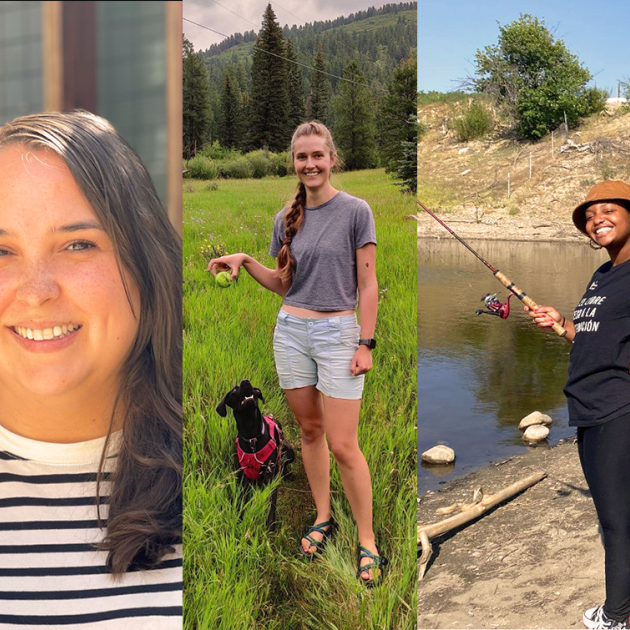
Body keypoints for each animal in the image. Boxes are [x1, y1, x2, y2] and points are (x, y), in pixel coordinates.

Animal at [217, 382, 296, 532]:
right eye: (234, 390)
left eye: (253, 388)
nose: (246, 381)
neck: (252, 436)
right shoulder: (243, 478)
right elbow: (241, 500)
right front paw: (239, 520)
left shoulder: (270, 476)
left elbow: (271, 502)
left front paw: (270, 524)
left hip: (289, 451)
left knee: (284, 464)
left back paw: (288, 474)